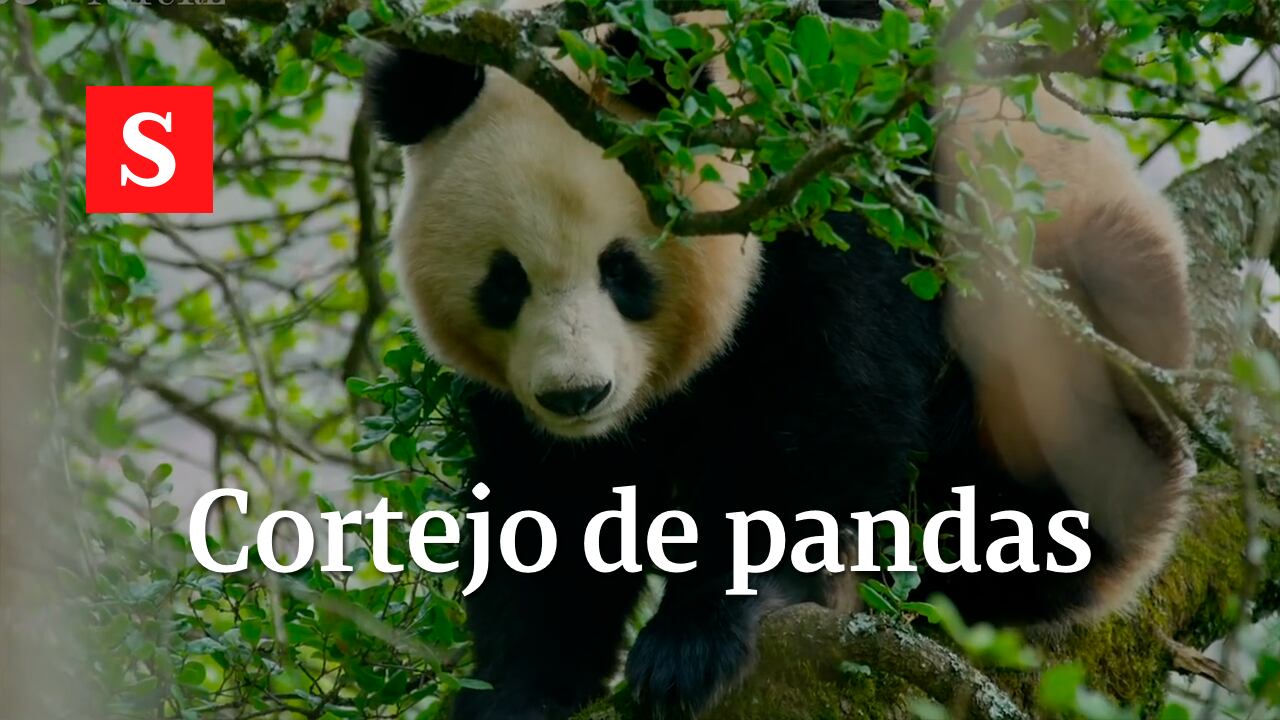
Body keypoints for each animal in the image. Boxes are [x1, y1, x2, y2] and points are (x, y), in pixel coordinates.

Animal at [363, 2, 1194, 718]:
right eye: (505, 283)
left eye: (622, 269)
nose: (578, 396)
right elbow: (547, 503)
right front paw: (519, 689)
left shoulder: (843, 202)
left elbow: (823, 417)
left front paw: (689, 647)